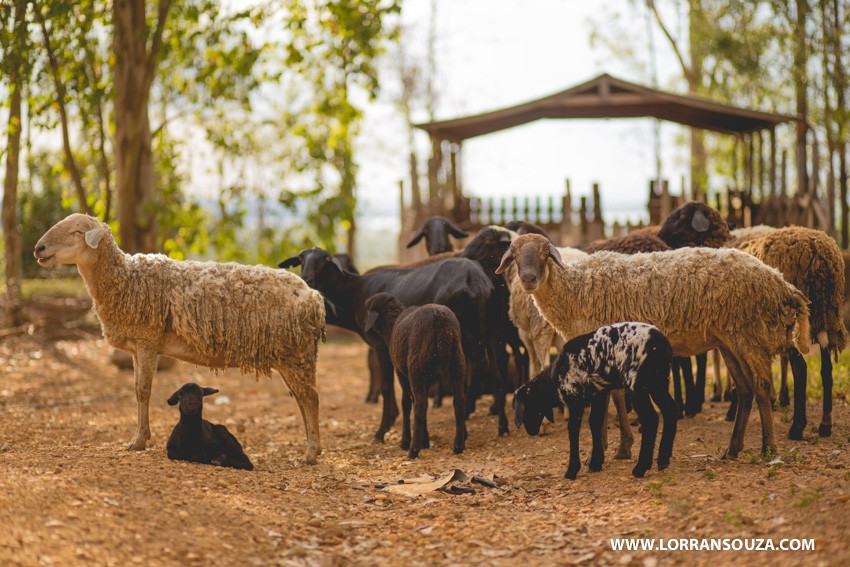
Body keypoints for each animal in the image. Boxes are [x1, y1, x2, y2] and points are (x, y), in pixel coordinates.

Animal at [34, 215, 324, 464]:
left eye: (77, 232)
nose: (39, 248)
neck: (125, 279)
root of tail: (312, 296)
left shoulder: (147, 342)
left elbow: (143, 391)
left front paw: (139, 441)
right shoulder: (137, 347)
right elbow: (136, 390)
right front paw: (140, 437)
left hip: (295, 353)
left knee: (310, 398)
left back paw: (310, 454)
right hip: (291, 354)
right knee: (301, 397)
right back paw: (313, 447)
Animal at [362, 292, 468, 458]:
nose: (363, 326)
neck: (392, 326)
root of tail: (440, 320)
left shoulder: (402, 373)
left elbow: (406, 403)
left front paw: (407, 442)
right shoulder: (427, 378)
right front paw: (425, 440)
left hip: (416, 367)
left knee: (420, 404)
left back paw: (413, 450)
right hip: (457, 363)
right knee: (458, 401)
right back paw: (458, 446)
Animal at [496, 235, 808, 462]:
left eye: (543, 252)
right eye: (514, 254)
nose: (528, 279)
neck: (575, 290)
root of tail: (781, 283)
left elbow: (613, 399)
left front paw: (615, 447)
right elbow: (616, 397)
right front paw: (618, 445)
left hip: (749, 334)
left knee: (762, 387)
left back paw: (769, 448)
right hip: (730, 339)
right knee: (745, 390)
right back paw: (732, 449)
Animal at [510, 324, 676, 480]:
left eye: (528, 406)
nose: (532, 431)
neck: (554, 378)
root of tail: (660, 341)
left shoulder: (575, 397)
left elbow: (573, 429)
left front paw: (572, 470)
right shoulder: (599, 395)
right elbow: (595, 422)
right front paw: (596, 463)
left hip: (636, 384)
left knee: (651, 418)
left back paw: (641, 468)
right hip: (658, 382)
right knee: (670, 410)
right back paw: (663, 460)